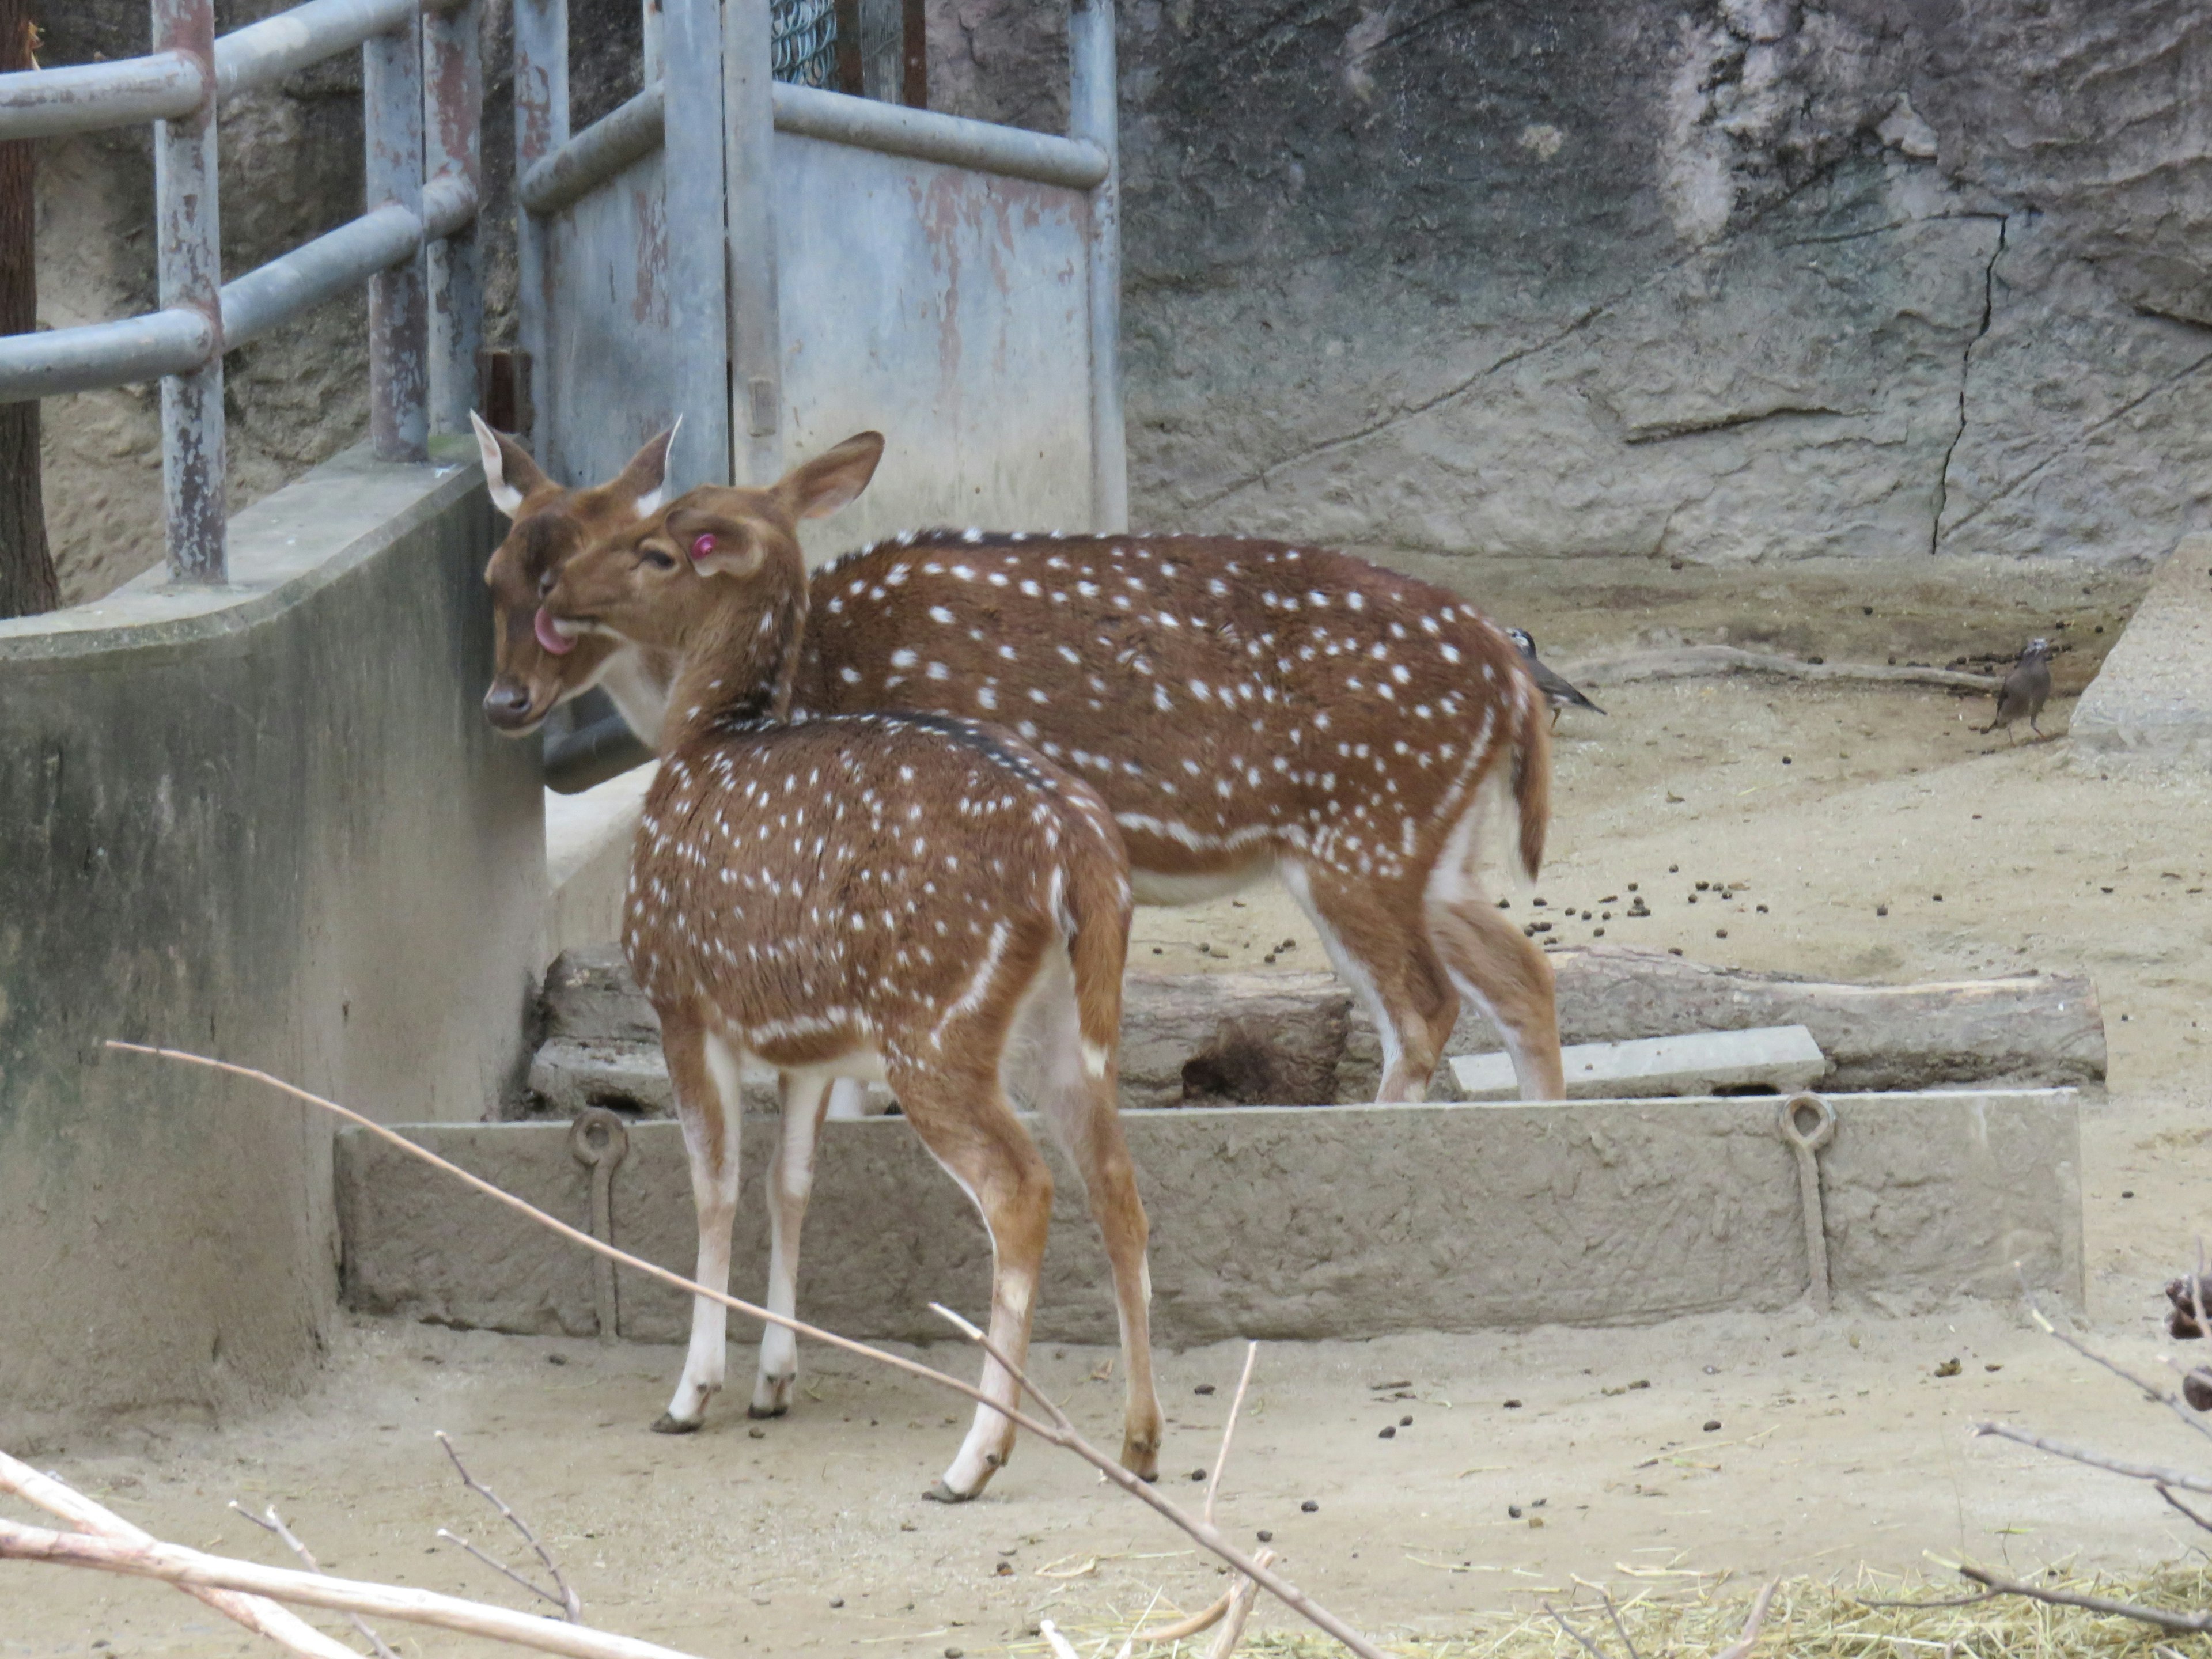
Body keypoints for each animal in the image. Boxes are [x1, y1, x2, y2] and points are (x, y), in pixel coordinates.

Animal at [475, 429, 1566, 1106]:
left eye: (639, 550)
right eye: (495, 575)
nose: (503, 702)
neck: (805, 674)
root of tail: (1513, 671)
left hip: (1360, 826)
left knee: (1426, 1006)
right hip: (1430, 838)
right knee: (1522, 974)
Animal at [537, 431, 1168, 1504]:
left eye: (656, 549)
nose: (555, 587)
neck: (700, 742)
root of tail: (1075, 851)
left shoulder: (680, 995)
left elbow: (718, 1183)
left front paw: (692, 1394)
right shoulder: (810, 1043)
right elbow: (792, 1182)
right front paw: (774, 1383)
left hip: (936, 1018)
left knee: (1023, 1188)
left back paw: (972, 1460)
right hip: (1075, 1019)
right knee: (1117, 1181)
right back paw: (1139, 1445)